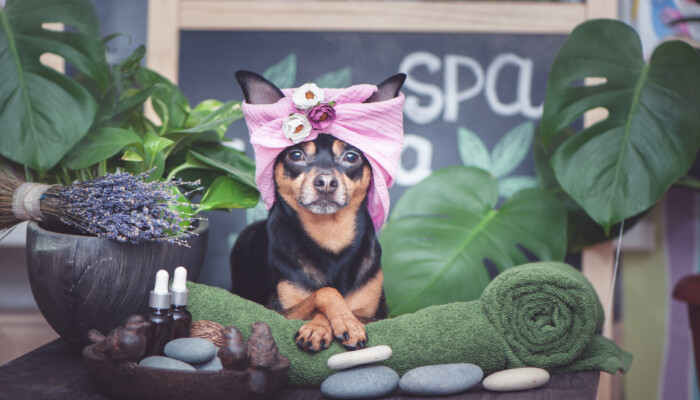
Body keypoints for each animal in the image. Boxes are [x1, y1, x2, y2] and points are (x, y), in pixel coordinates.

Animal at [230, 70, 404, 352]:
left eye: (351, 157)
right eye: (296, 155)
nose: (325, 182)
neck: (330, 236)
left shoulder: (379, 315)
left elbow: (348, 307)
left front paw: (343, 322)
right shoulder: (277, 312)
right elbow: (325, 292)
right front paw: (324, 325)